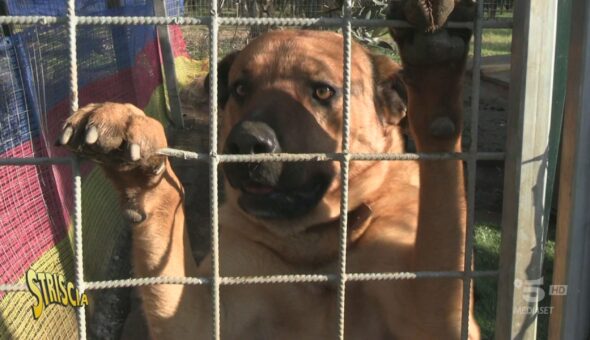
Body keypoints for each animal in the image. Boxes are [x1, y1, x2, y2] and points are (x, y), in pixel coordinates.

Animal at [59, 11, 480, 340]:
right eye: (241, 88)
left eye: (323, 92)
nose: (245, 141)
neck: (312, 250)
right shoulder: (199, 318)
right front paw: (135, 154)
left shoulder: (436, 316)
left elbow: (443, 212)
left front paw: (437, 71)